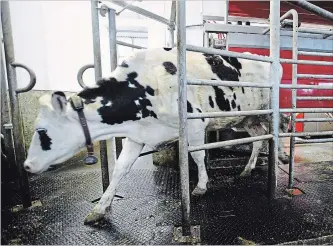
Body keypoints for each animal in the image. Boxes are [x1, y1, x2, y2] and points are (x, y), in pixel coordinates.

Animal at [23, 46, 288, 225]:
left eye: (41, 130)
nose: (26, 165)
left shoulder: (195, 124)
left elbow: (198, 157)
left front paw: (201, 186)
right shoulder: (137, 135)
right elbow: (119, 170)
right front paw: (100, 209)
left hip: (268, 110)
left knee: (280, 128)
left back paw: (281, 158)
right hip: (247, 118)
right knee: (258, 137)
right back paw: (247, 168)